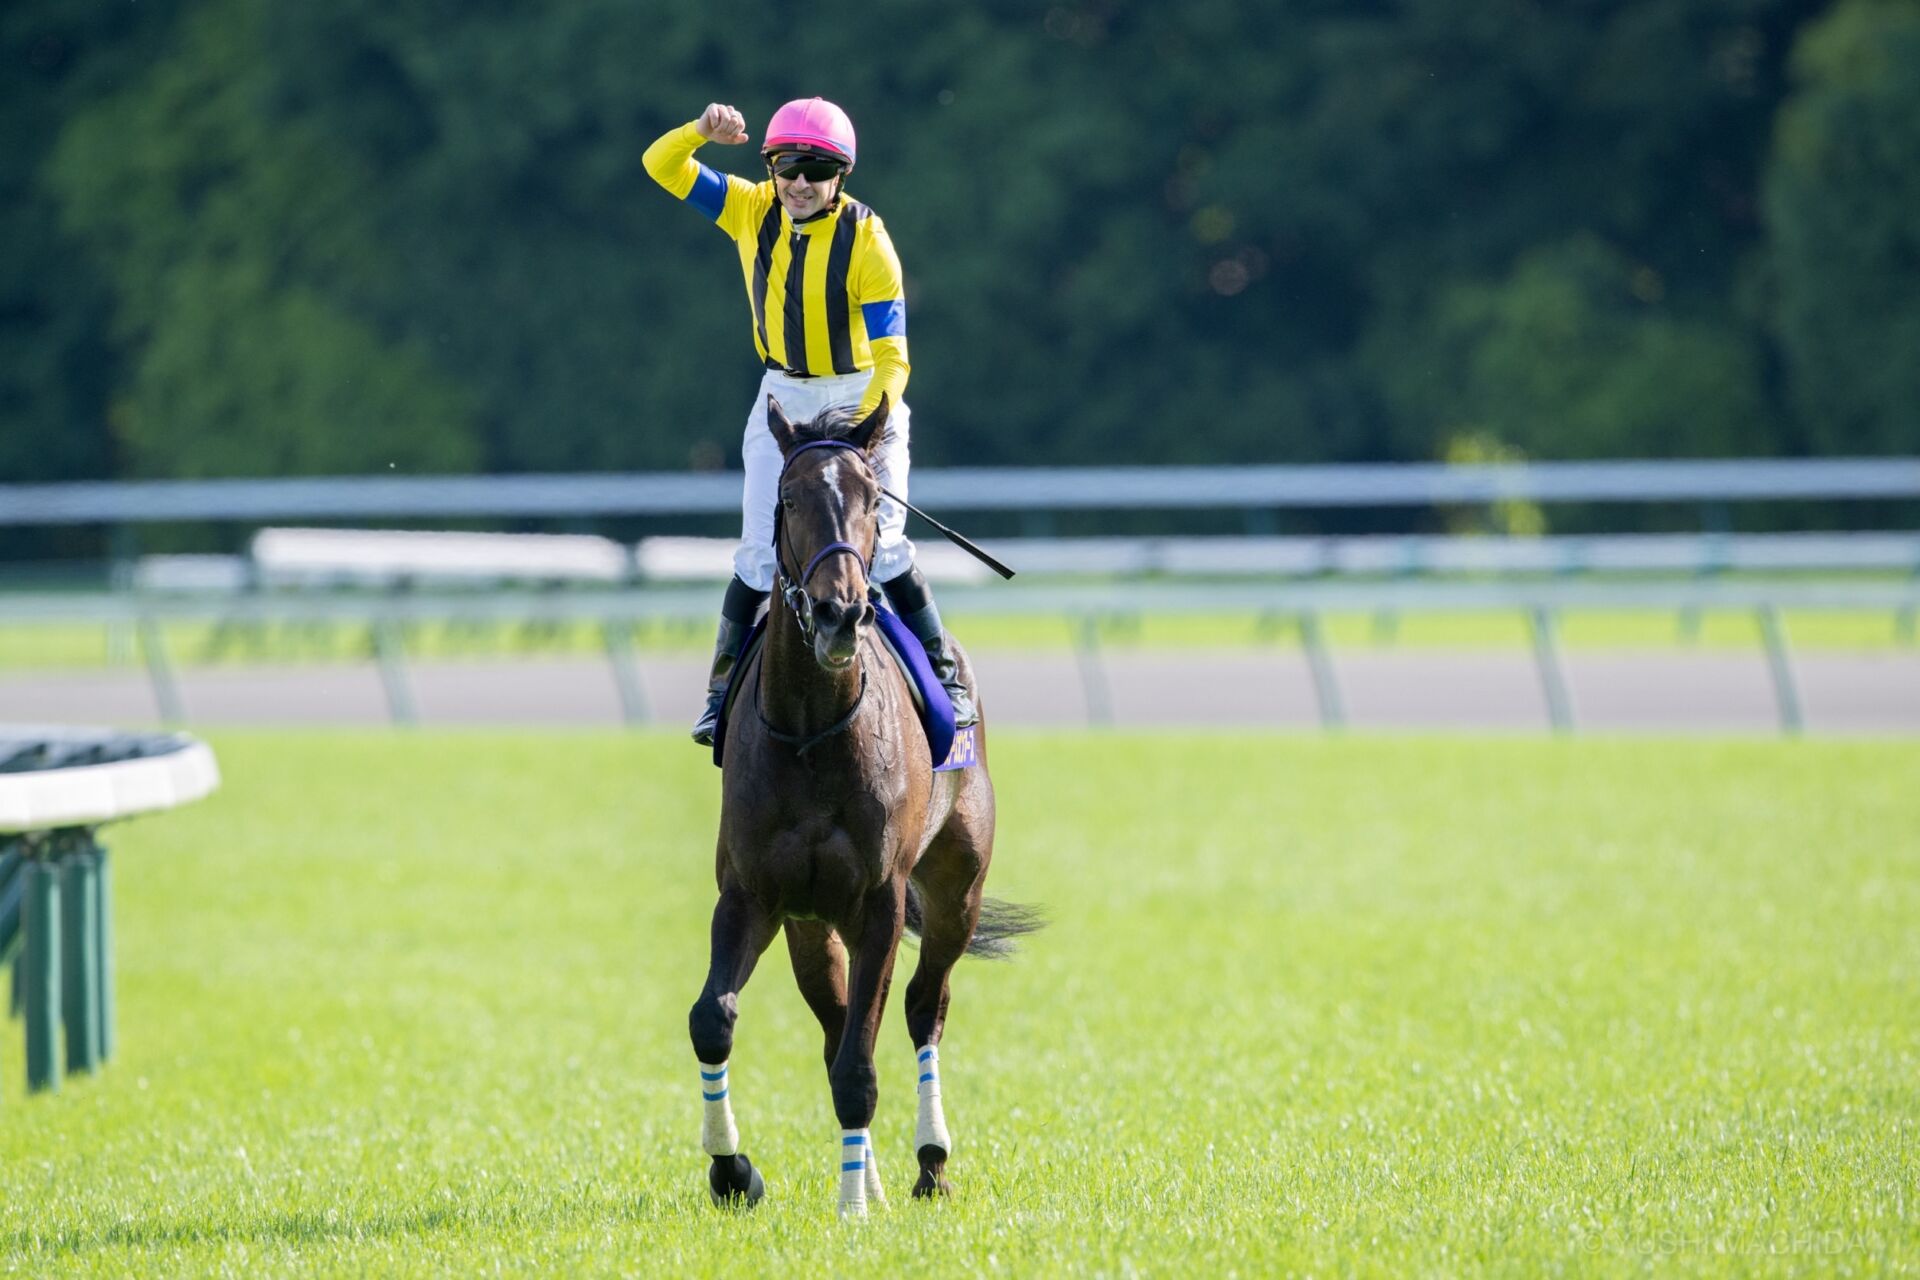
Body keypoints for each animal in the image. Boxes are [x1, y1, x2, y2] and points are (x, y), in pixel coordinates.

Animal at [691, 395, 1044, 1220]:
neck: (811, 731)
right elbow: (715, 1020)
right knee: (836, 1024)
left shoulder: (880, 901)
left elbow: (861, 1061)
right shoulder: (753, 895)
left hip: (956, 890)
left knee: (923, 1006)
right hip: (811, 926)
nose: (839, 613)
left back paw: (929, 1162)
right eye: (788, 500)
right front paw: (733, 1171)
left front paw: (853, 1207)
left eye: (872, 499)